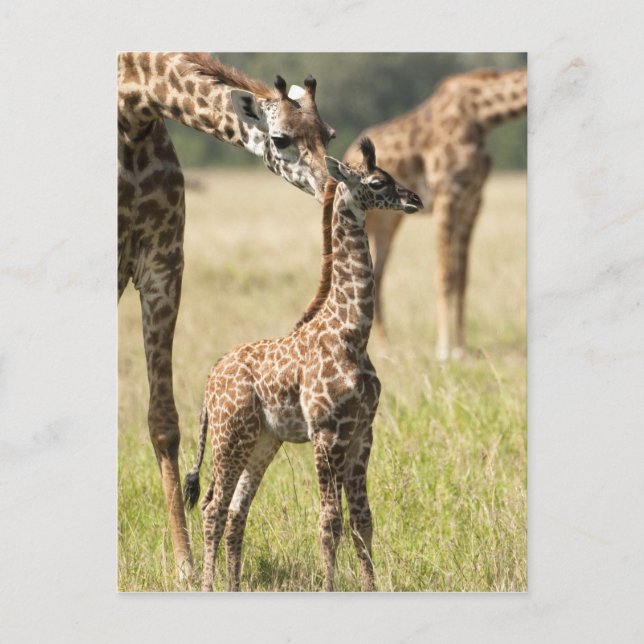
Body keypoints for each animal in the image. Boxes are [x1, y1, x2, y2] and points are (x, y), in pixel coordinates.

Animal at [118, 52, 335, 581]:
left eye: (330, 133)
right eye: (282, 138)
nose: (333, 186)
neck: (132, 110)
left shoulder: (162, 262)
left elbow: (163, 419)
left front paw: (185, 565)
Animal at [183, 138, 423, 592]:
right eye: (377, 182)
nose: (415, 199)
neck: (352, 333)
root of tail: (208, 380)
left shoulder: (362, 432)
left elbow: (363, 521)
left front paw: (370, 587)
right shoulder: (326, 433)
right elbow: (329, 521)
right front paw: (330, 587)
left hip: (262, 441)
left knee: (236, 511)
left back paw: (232, 585)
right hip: (229, 436)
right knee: (212, 507)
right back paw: (208, 585)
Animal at [344, 68, 527, 360]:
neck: (482, 115)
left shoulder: (473, 200)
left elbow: (463, 276)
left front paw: (461, 349)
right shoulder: (446, 194)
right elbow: (445, 275)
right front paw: (443, 349)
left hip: (388, 220)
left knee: (378, 273)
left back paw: (385, 347)